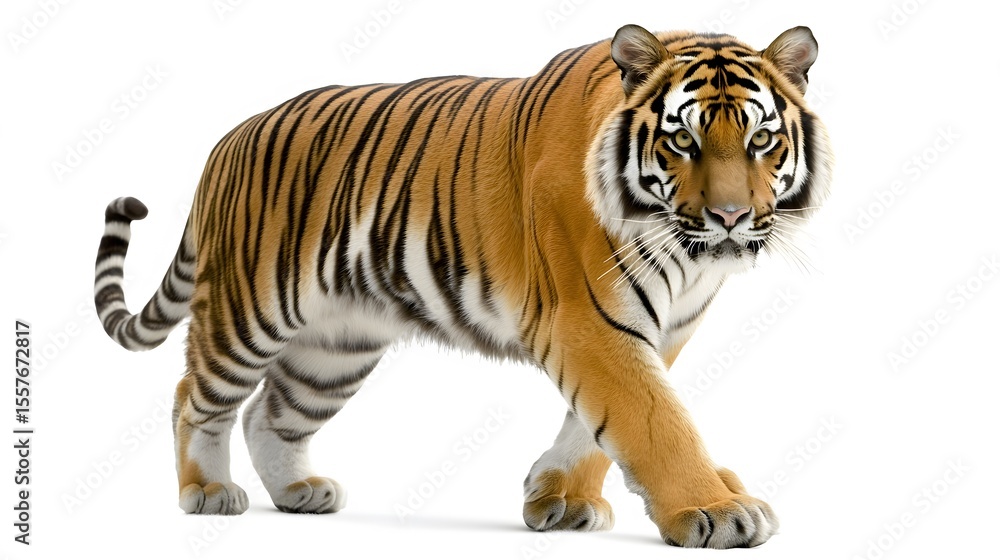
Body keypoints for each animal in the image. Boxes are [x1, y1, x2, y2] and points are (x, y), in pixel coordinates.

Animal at [93, 23, 831, 548]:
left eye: (762, 141)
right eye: (683, 142)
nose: (730, 218)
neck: (687, 256)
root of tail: (227, 140)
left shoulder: (659, 328)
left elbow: (601, 424)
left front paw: (559, 497)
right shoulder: (588, 320)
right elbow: (655, 420)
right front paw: (717, 509)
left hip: (334, 350)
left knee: (268, 414)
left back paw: (300, 491)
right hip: (250, 309)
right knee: (195, 397)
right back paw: (207, 491)